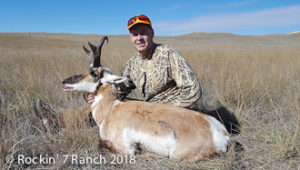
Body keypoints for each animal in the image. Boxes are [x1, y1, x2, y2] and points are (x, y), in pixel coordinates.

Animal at [61, 36, 230, 161]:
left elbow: (101, 144)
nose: (64, 82)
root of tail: (223, 134)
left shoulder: (125, 149)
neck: (112, 109)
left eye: (93, 73)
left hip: (176, 155)